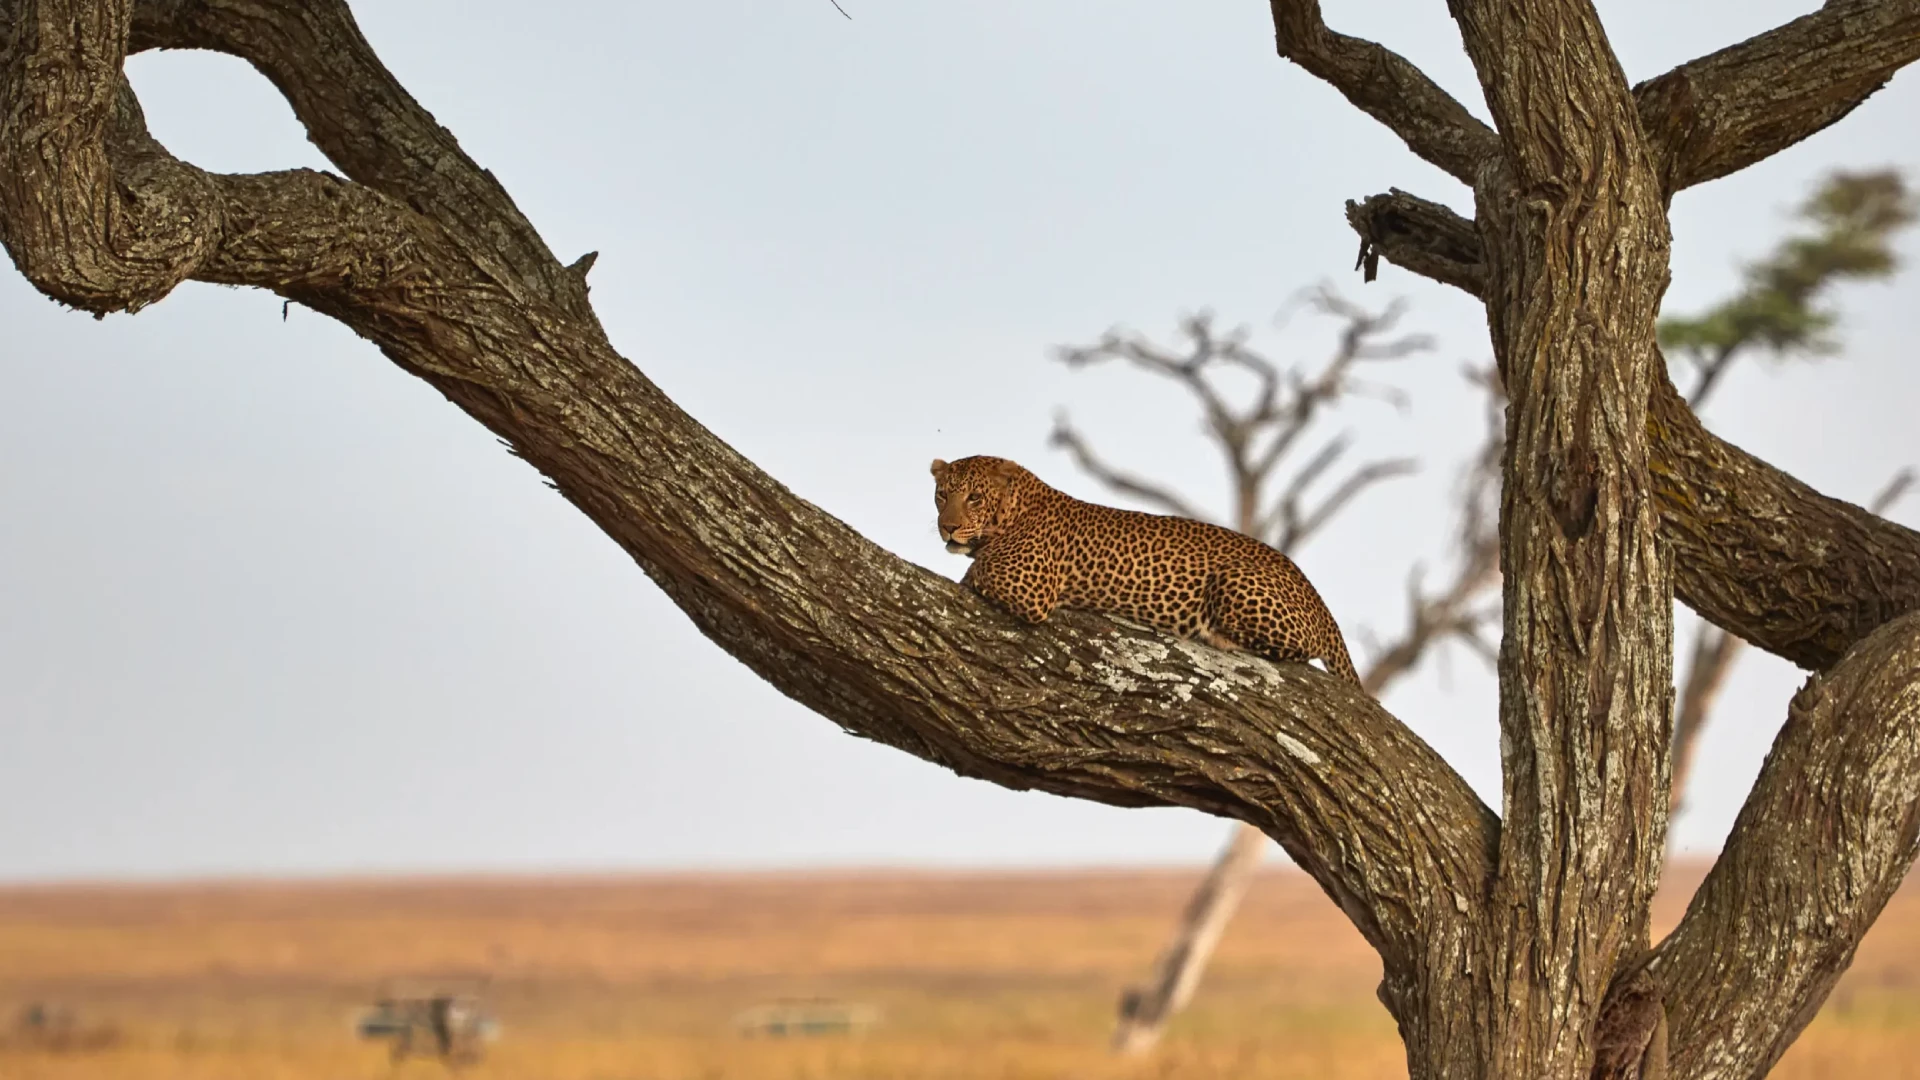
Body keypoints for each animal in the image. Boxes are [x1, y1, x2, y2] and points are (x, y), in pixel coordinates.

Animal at [933, 453, 1367, 680]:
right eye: (941, 495)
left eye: (974, 497)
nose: (947, 527)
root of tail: (1318, 599)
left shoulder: (1028, 587)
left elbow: (975, 573)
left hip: (1235, 580)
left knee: (1298, 651)